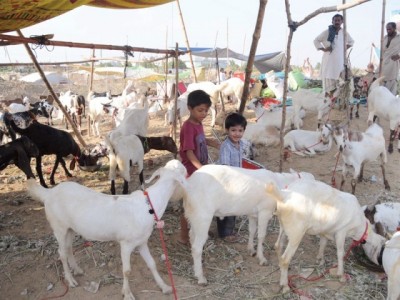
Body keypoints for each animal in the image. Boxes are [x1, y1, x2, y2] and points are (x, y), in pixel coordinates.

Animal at [27, 159, 187, 300]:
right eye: (183, 171)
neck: (149, 205)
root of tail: (49, 193)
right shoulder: (126, 243)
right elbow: (127, 271)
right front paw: (127, 294)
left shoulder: (141, 242)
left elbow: (152, 264)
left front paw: (165, 287)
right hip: (58, 226)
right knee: (61, 253)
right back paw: (71, 280)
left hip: (70, 229)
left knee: (68, 248)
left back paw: (77, 271)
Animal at [181, 165, 316, 284]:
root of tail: (189, 185)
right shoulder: (265, 211)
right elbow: (261, 235)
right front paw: (262, 258)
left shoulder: (253, 214)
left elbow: (252, 230)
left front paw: (251, 250)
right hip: (203, 216)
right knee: (197, 247)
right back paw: (201, 277)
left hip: (193, 216)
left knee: (192, 237)